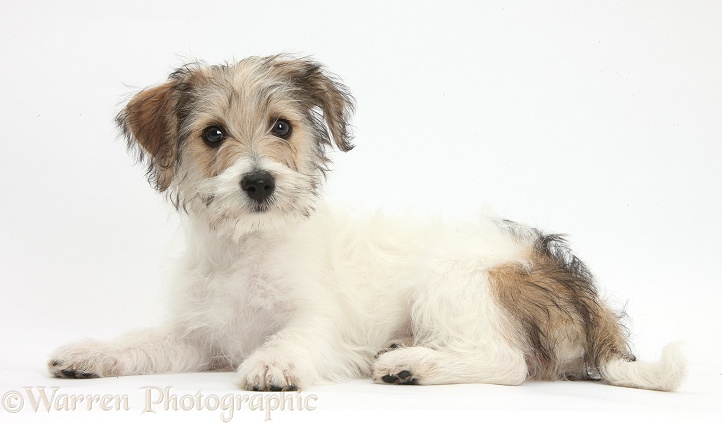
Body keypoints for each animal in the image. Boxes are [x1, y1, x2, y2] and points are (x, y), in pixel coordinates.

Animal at [47, 55, 684, 390]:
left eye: (282, 127)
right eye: (213, 134)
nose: (259, 183)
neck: (247, 248)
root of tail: (573, 282)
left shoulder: (323, 321)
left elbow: (297, 334)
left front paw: (274, 362)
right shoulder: (197, 336)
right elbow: (142, 342)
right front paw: (91, 353)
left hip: (454, 282)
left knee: (506, 362)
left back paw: (409, 364)